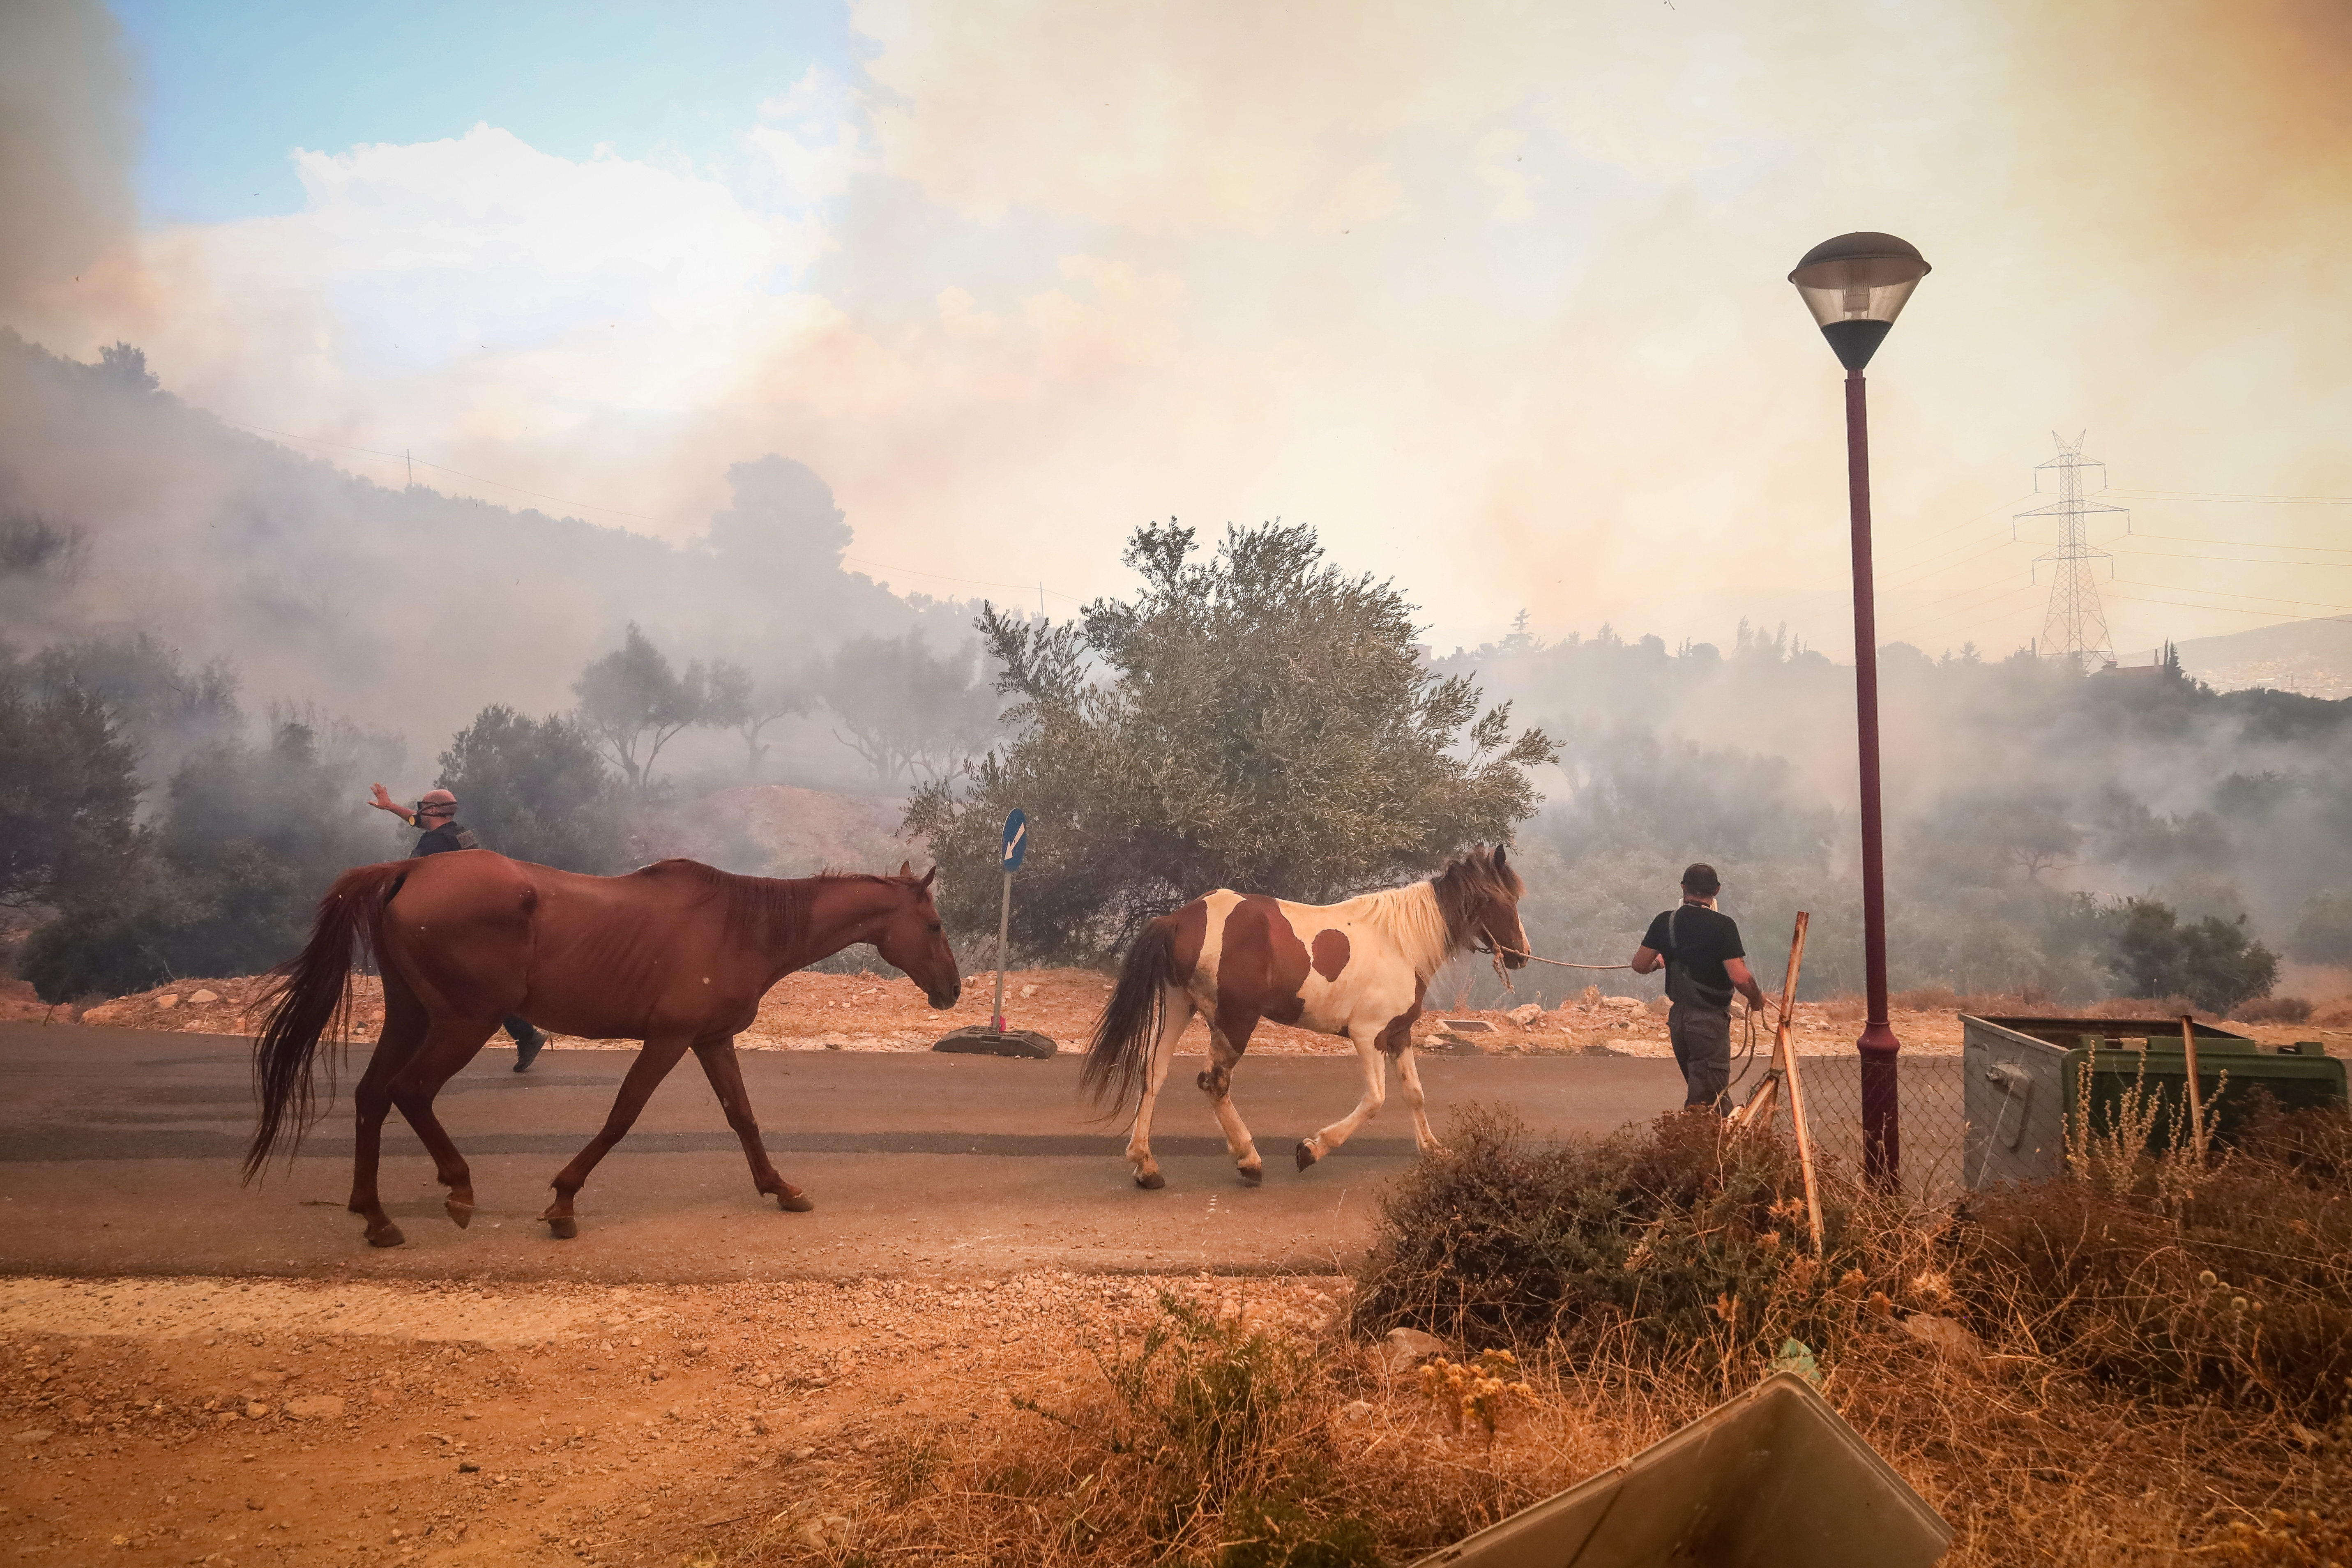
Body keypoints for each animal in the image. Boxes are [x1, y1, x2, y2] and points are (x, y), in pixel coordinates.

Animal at [243, 851, 959, 1241]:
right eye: (933, 924)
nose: (953, 989)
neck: (744, 924)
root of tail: (410, 868)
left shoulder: (711, 1041)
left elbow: (744, 1118)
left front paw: (780, 1187)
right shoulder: (670, 1041)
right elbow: (622, 1117)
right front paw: (564, 1200)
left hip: (411, 1016)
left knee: (372, 1097)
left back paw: (376, 1216)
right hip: (463, 1023)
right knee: (409, 1092)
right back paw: (458, 1189)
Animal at [1077, 846, 1533, 1189]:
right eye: (1504, 901)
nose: (1523, 955)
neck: (1401, 942)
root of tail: (1177, 918)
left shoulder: (1398, 1034)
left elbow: (1414, 1094)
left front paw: (1433, 1149)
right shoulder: (1369, 1035)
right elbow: (1375, 1099)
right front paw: (1312, 1149)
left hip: (1177, 1006)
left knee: (1154, 1072)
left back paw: (1146, 1165)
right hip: (1234, 1021)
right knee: (1214, 1083)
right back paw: (1248, 1159)